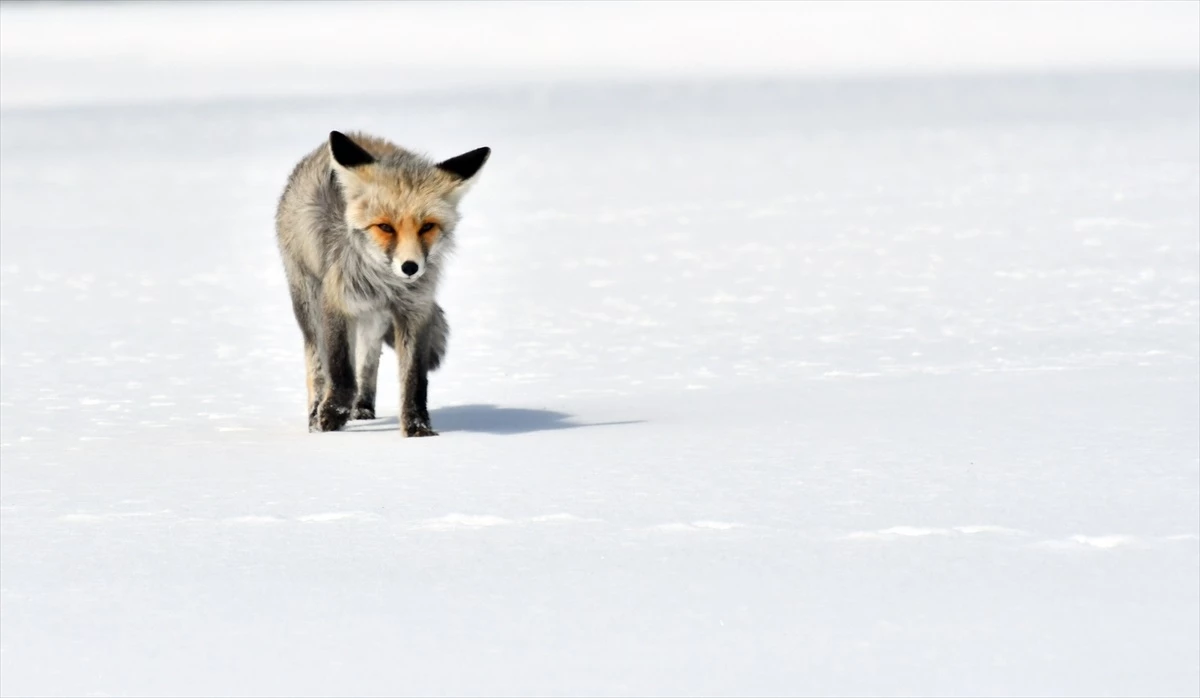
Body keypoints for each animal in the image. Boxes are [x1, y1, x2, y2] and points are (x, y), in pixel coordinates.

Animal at [274, 130, 487, 436]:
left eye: (427, 227)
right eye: (385, 227)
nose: (410, 267)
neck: (384, 283)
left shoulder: (415, 311)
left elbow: (413, 381)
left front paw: (417, 429)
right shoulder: (336, 302)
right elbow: (340, 372)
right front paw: (329, 417)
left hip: (374, 319)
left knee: (368, 360)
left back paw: (363, 407)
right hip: (309, 305)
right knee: (317, 364)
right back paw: (316, 413)